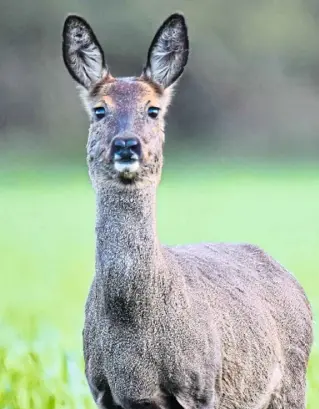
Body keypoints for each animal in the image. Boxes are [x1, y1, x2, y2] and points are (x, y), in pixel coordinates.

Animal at [62, 12, 312, 408]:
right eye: (100, 110)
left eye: (153, 109)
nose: (127, 144)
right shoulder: (101, 387)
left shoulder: (200, 385)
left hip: (291, 382)